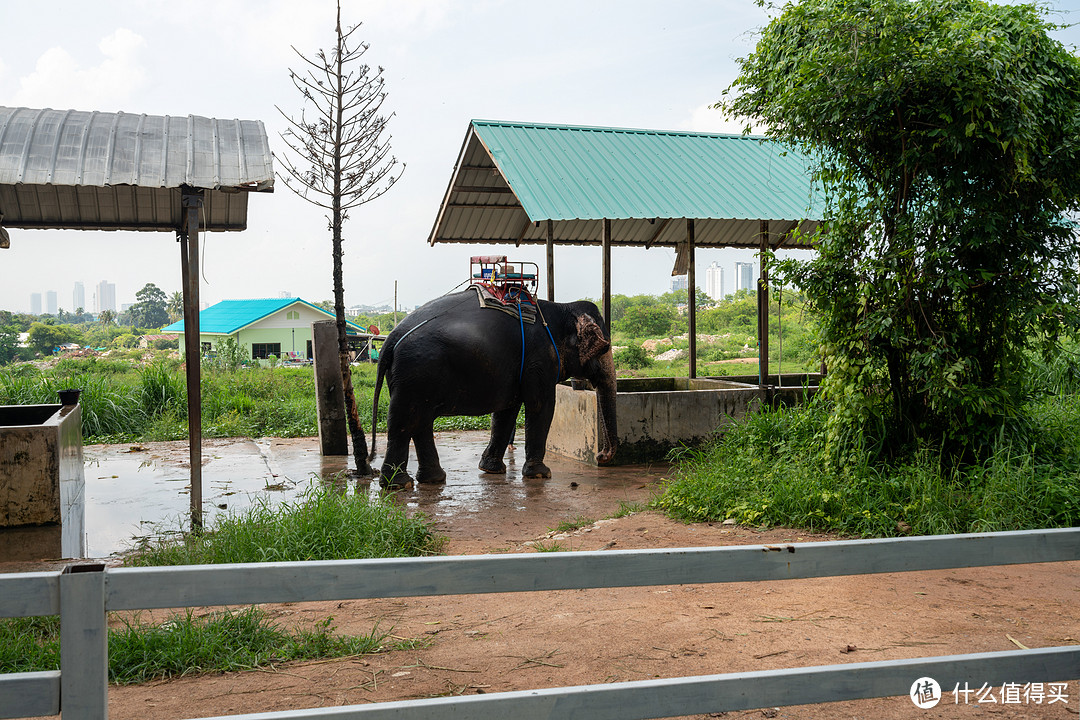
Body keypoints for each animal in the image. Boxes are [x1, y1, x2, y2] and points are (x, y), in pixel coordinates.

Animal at [369, 289, 617, 487]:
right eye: (604, 347)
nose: (600, 456)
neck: (562, 308)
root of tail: (392, 337)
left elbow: (506, 412)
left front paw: (491, 470)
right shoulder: (539, 360)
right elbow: (541, 406)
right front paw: (541, 474)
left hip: (411, 377)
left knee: (421, 421)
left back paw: (432, 479)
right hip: (416, 372)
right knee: (404, 422)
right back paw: (399, 485)